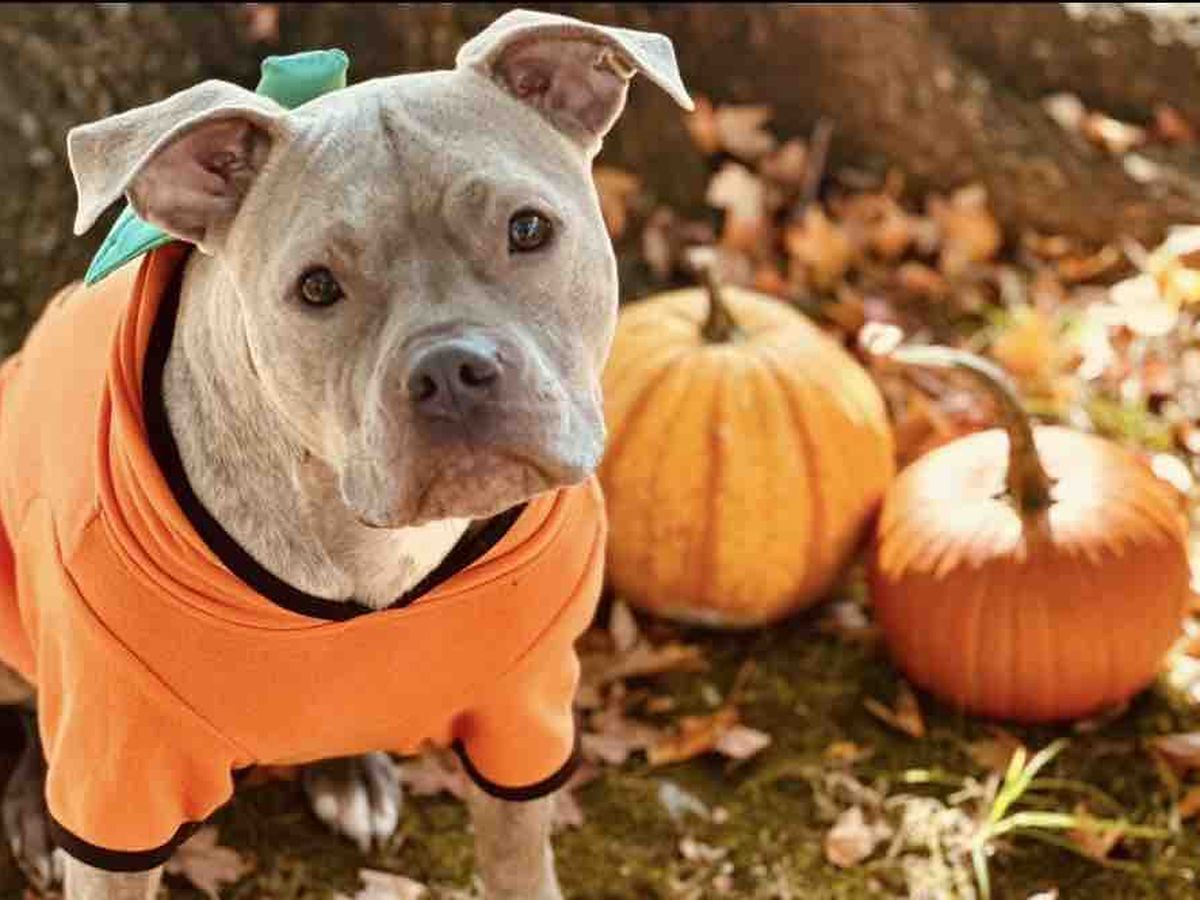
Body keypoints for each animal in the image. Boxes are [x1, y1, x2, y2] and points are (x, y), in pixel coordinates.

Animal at [0, 9, 691, 899]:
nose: (450, 370)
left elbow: (518, 864)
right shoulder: (117, 773)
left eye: (528, 228)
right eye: (317, 287)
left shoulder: (524, 717)